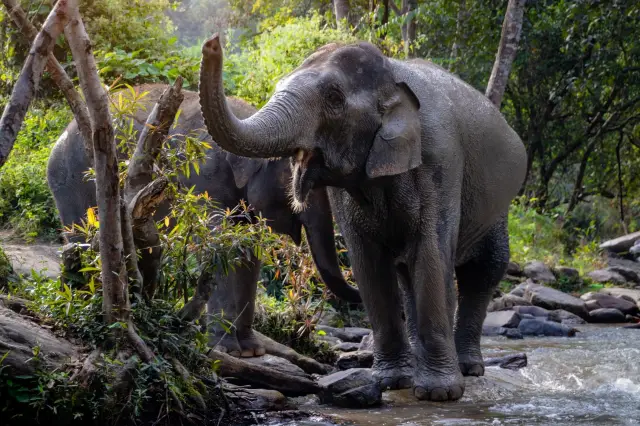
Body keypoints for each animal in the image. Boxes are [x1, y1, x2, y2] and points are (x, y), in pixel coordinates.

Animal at [46, 84, 360, 358]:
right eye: (299, 176)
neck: (252, 120)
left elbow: (247, 253)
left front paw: (252, 351)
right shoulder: (201, 180)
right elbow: (218, 246)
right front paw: (229, 350)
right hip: (74, 180)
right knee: (83, 239)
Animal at [198, 36, 527, 400]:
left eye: (334, 98)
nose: (212, 44)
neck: (392, 74)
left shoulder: (439, 161)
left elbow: (430, 254)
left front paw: (439, 394)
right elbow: (368, 264)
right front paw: (392, 382)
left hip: (498, 208)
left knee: (484, 269)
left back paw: (469, 369)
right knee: (407, 274)